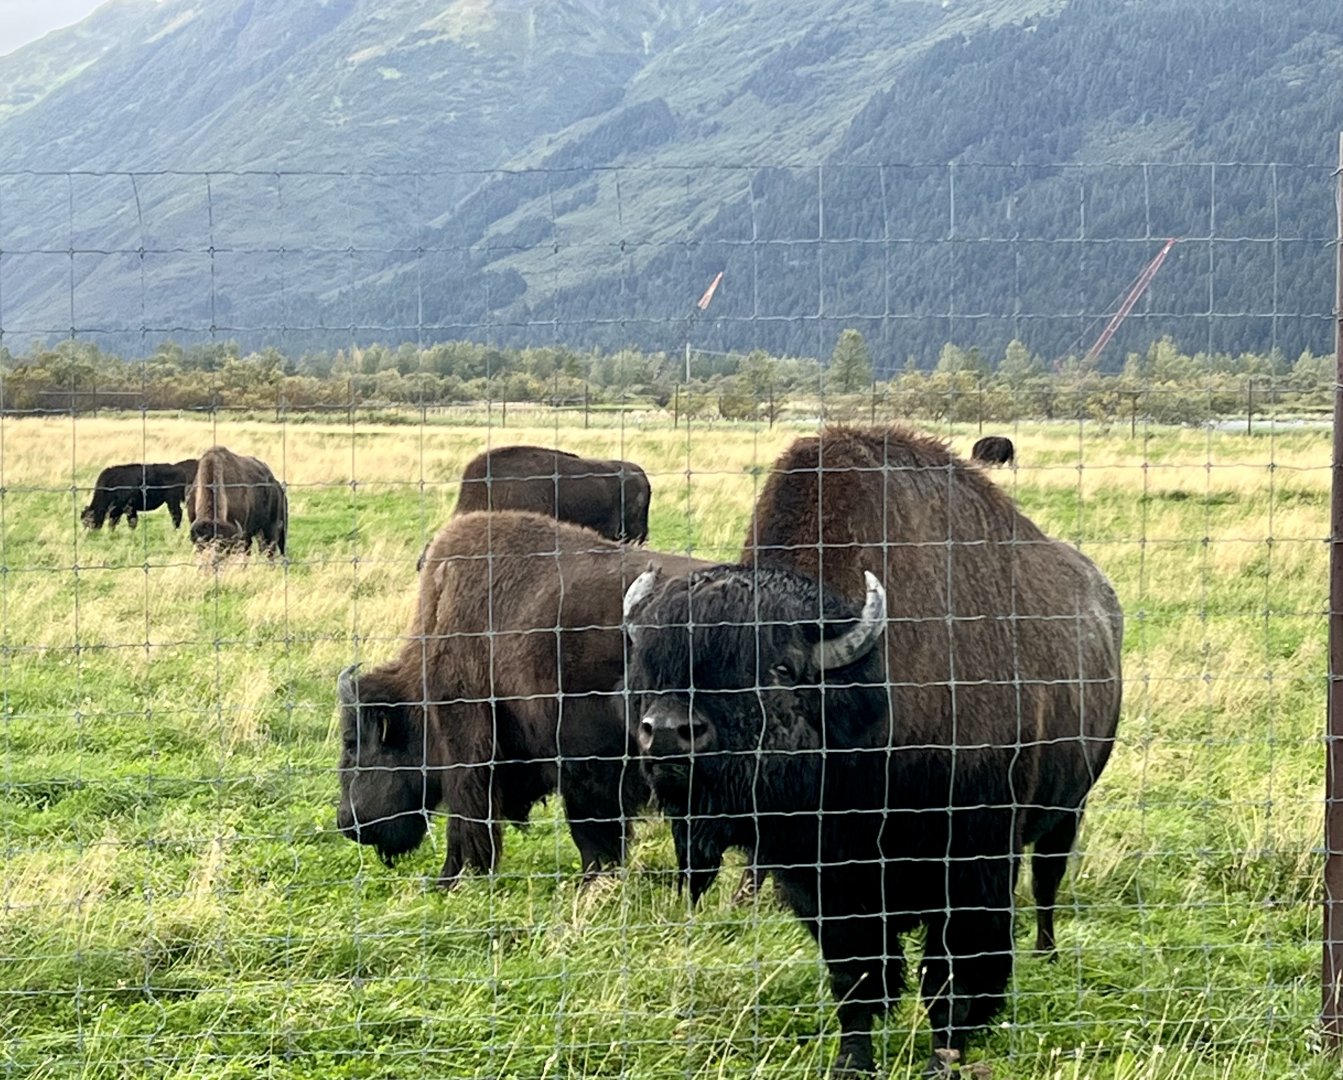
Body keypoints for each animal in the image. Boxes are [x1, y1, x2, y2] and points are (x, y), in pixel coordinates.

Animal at [623, 424, 1123, 1077]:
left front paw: (944, 1058)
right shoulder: (825, 885)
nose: (666, 732)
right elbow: (857, 977)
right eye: (648, 668)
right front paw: (853, 1061)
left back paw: (1049, 955)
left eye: (781, 670)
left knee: (1046, 886)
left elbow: (952, 975)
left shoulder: (974, 865)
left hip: (1068, 810)